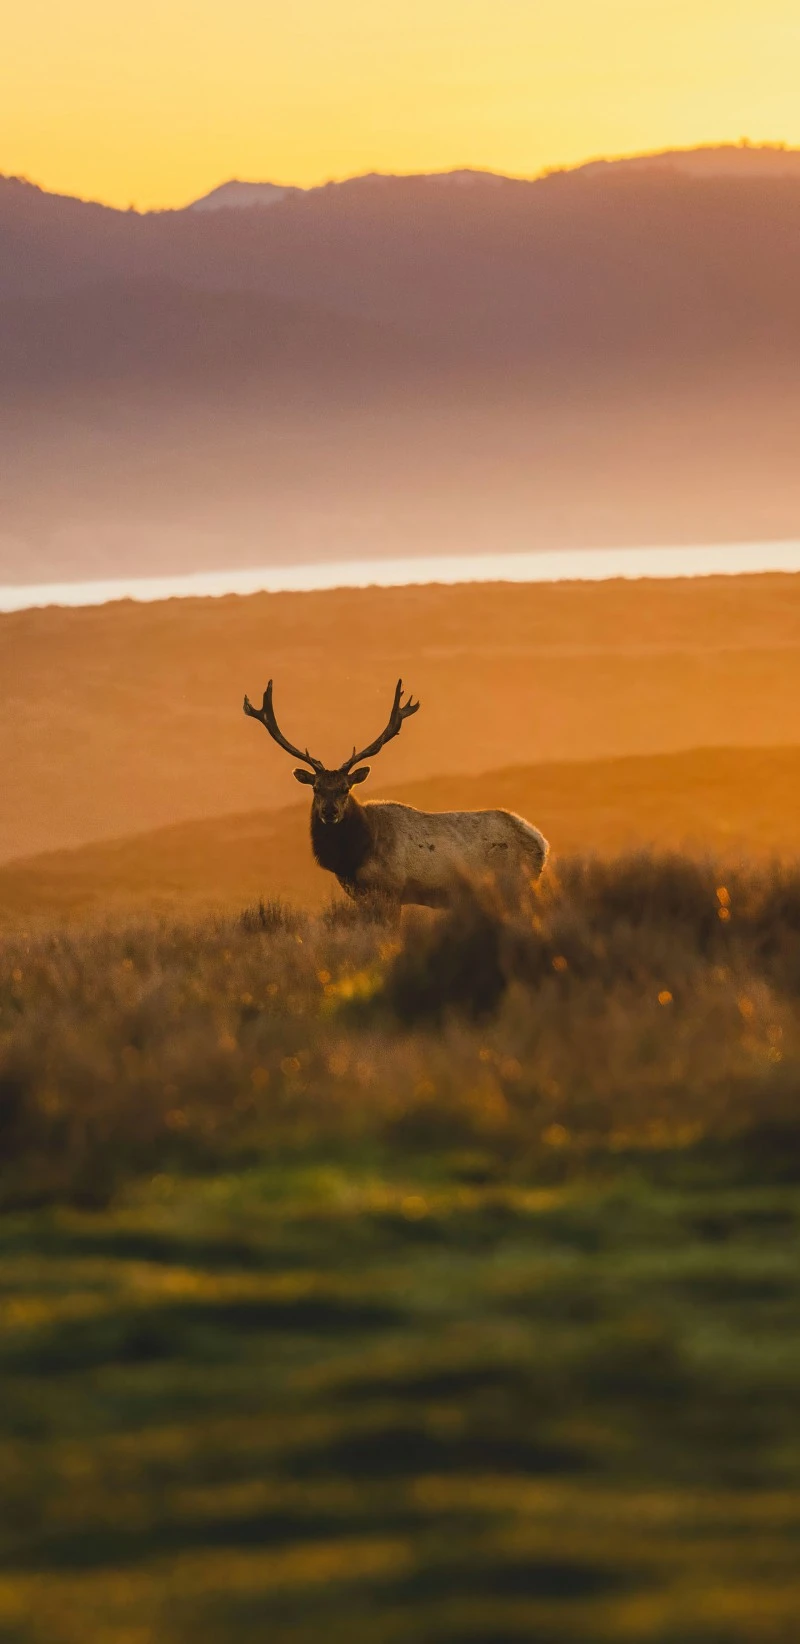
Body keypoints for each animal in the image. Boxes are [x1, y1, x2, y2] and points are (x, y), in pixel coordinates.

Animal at [243, 678, 548, 913]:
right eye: (316, 787)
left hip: (517, 884)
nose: (330, 812)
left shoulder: (389, 890)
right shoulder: (362, 895)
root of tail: (542, 844)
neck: (354, 857)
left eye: (345, 788)